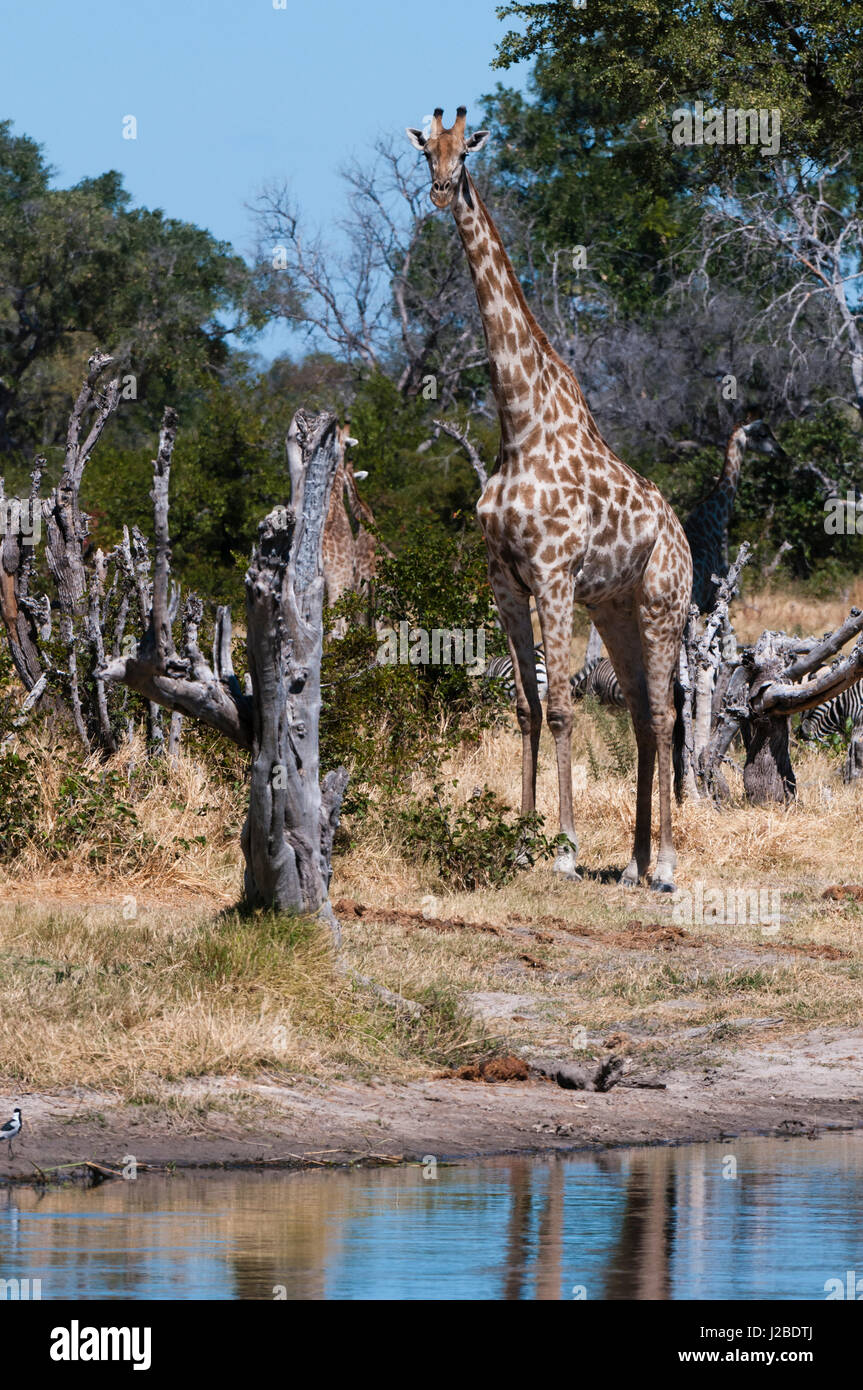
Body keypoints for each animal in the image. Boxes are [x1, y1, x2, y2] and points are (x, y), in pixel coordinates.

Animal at [405, 111, 692, 889]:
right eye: (425, 152)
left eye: (465, 154)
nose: (440, 192)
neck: (518, 422)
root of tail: (683, 536)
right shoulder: (504, 576)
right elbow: (526, 706)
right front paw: (520, 841)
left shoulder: (555, 573)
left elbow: (563, 708)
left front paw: (562, 848)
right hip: (615, 607)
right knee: (636, 714)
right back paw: (632, 863)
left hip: (663, 603)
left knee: (663, 715)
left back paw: (665, 865)